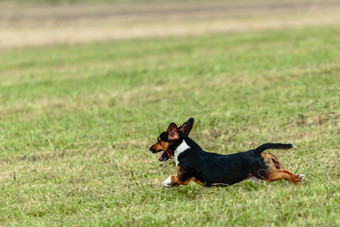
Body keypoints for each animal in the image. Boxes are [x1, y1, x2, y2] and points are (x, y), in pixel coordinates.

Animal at [149, 118, 306, 187]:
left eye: (158, 140)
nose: (150, 148)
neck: (184, 150)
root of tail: (255, 151)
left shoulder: (183, 177)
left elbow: (172, 177)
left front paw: (165, 182)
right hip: (269, 167)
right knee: (281, 166)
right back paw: (298, 177)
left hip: (266, 174)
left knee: (285, 173)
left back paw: (297, 180)